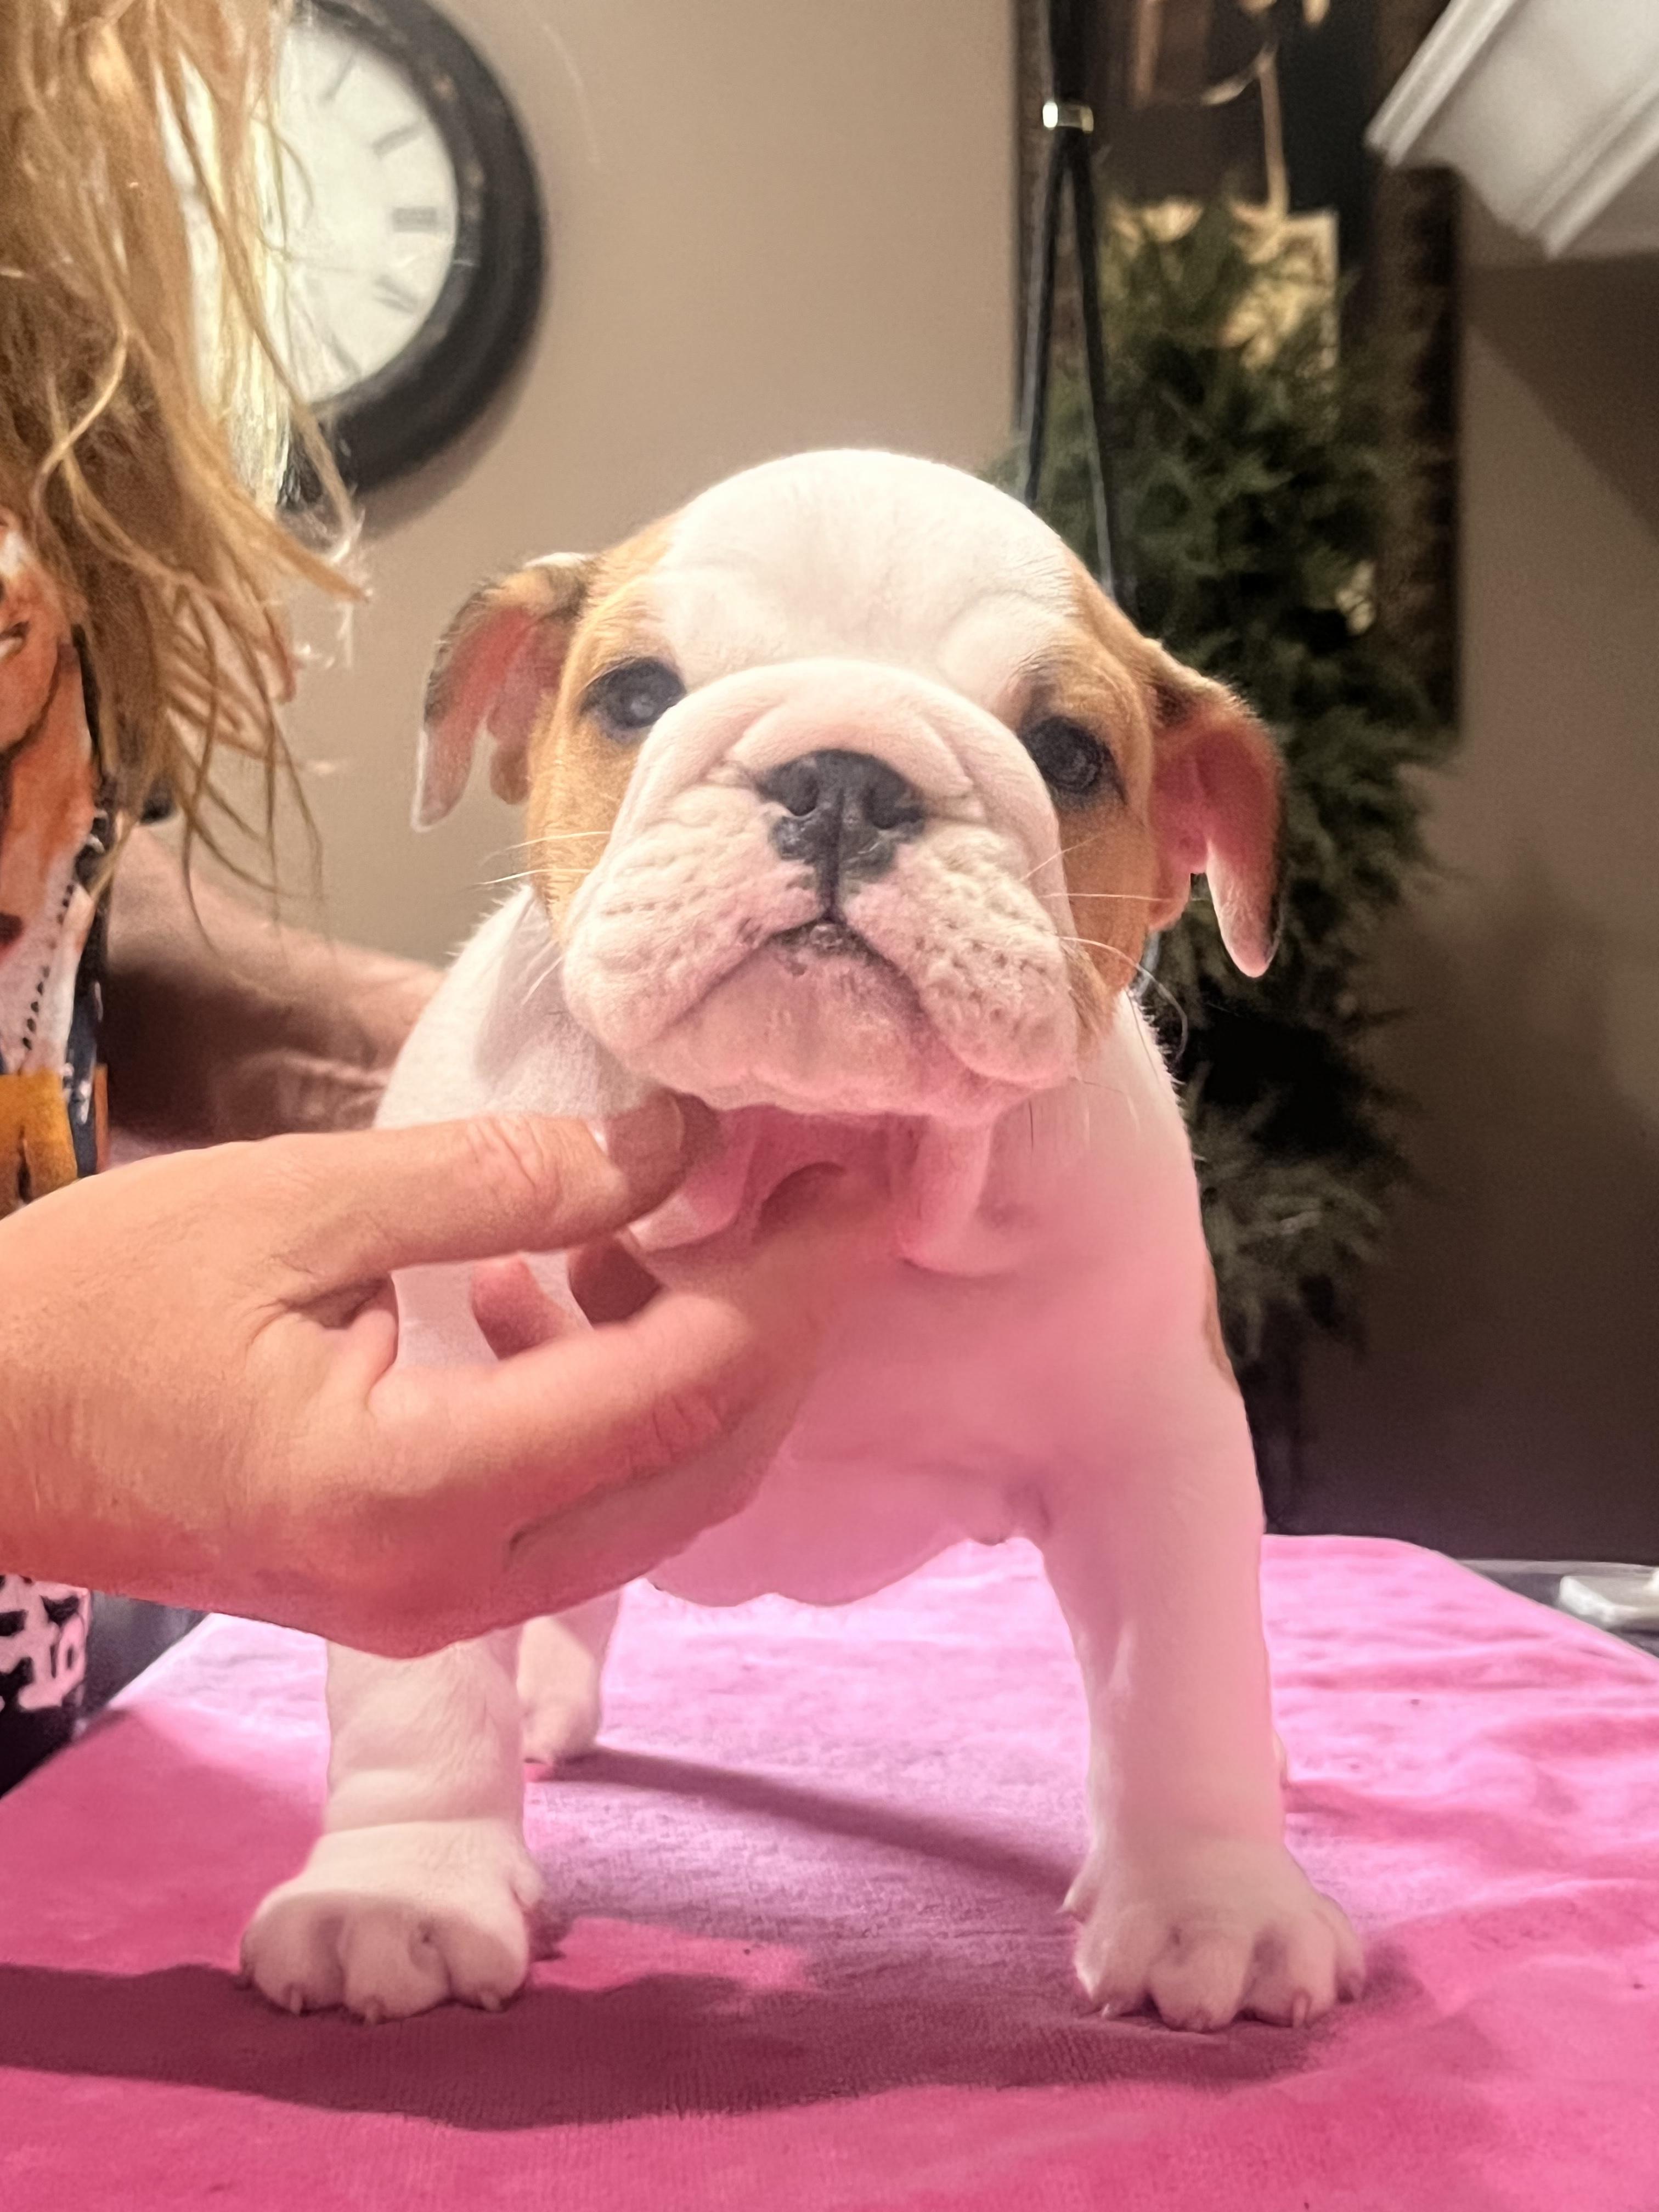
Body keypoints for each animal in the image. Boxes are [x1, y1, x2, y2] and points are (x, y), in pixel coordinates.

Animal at [242, 450, 1363, 2032]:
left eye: (1072, 754)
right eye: (635, 694)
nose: (847, 777)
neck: (801, 1132)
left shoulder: (1155, 1454)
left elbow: (1183, 1680)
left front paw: (1217, 1902)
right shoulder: (446, 1416)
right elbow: (423, 1689)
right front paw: (403, 1890)